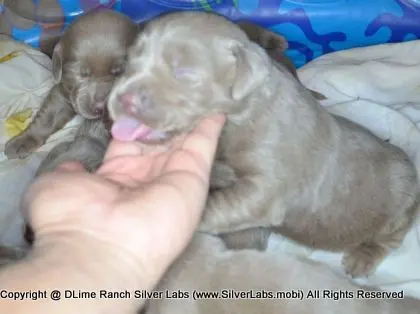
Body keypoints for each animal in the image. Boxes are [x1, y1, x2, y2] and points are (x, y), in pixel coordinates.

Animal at [3, 8, 138, 161]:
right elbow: (48, 116)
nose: (101, 107)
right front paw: (23, 140)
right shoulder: (64, 91)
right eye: (81, 74)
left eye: (119, 72)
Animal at [107, 11, 420, 278]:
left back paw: (361, 259)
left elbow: (225, 205)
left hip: (400, 204)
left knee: (389, 238)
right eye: (129, 62)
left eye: (184, 71)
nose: (124, 100)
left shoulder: (268, 181)